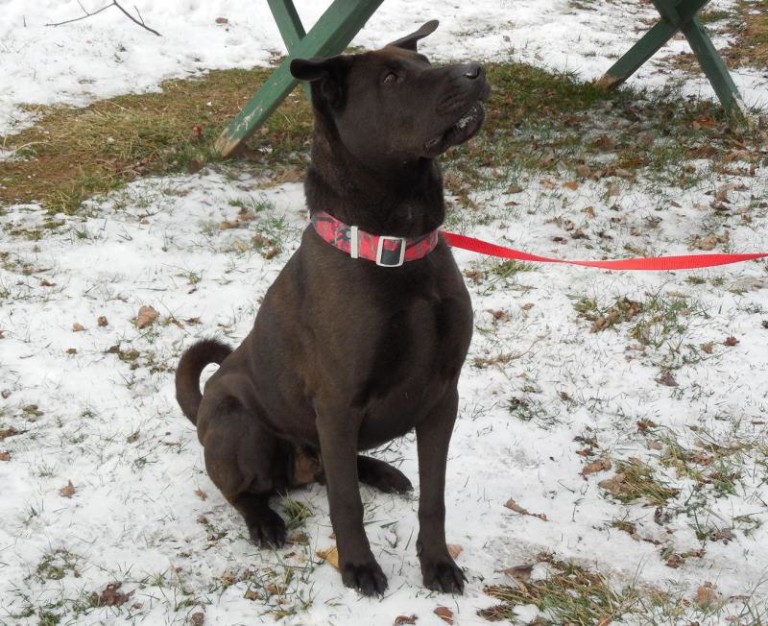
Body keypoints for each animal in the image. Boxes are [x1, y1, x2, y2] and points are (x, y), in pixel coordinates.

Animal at [175, 20, 489, 596]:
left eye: (424, 60)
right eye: (390, 79)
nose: (476, 70)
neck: (396, 244)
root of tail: (203, 406)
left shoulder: (442, 396)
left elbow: (433, 498)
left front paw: (438, 564)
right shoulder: (340, 403)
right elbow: (346, 503)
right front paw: (359, 567)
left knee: (331, 468)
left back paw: (384, 472)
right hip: (244, 428)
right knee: (246, 490)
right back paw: (265, 521)